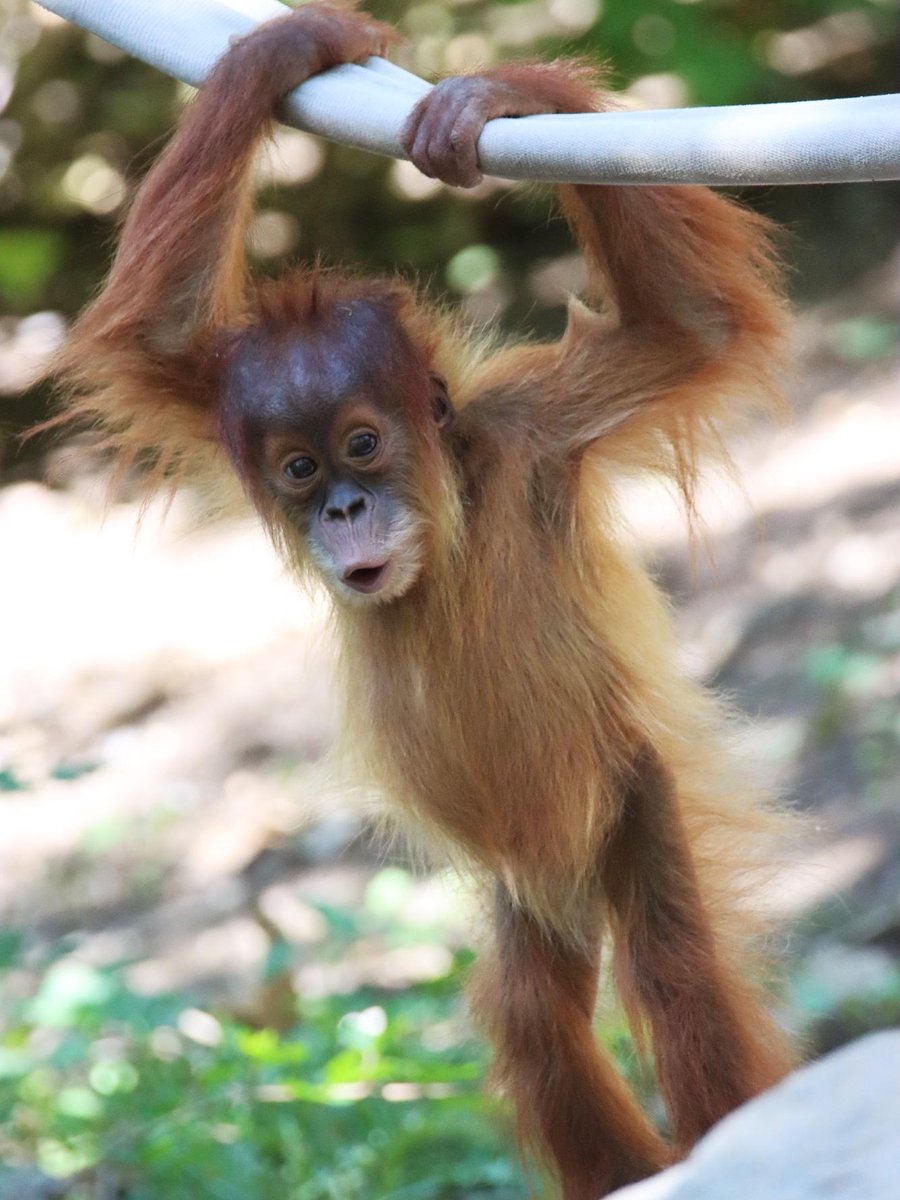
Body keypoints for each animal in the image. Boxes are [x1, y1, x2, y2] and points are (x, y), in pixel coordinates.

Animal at [51, 5, 796, 1197]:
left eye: (363, 443)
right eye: (298, 468)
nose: (346, 507)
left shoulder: (539, 428)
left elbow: (690, 327)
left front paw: (498, 94)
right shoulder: (198, 393)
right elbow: (153, 330)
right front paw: (290, 47)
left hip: (624, 796)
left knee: (671, 972)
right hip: (526, 883)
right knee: (534, 1014)